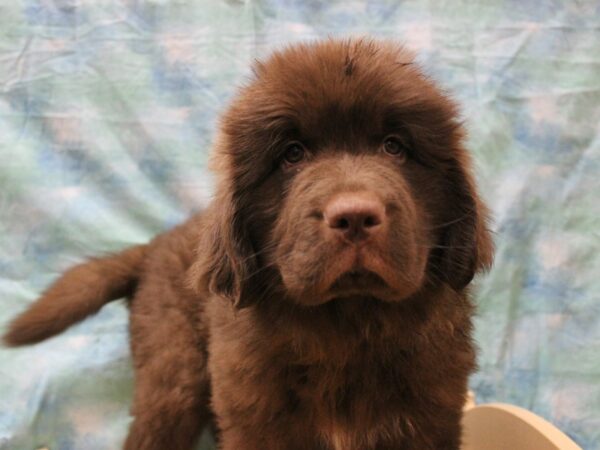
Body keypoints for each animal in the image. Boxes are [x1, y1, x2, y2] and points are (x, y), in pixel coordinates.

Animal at [3, 39, 492, 450]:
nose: (354, 216)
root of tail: (155, 245)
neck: (347, 325)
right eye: (292, 155)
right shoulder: (254, 420)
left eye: (394, 147)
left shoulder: (431, 419)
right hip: (174, 379)